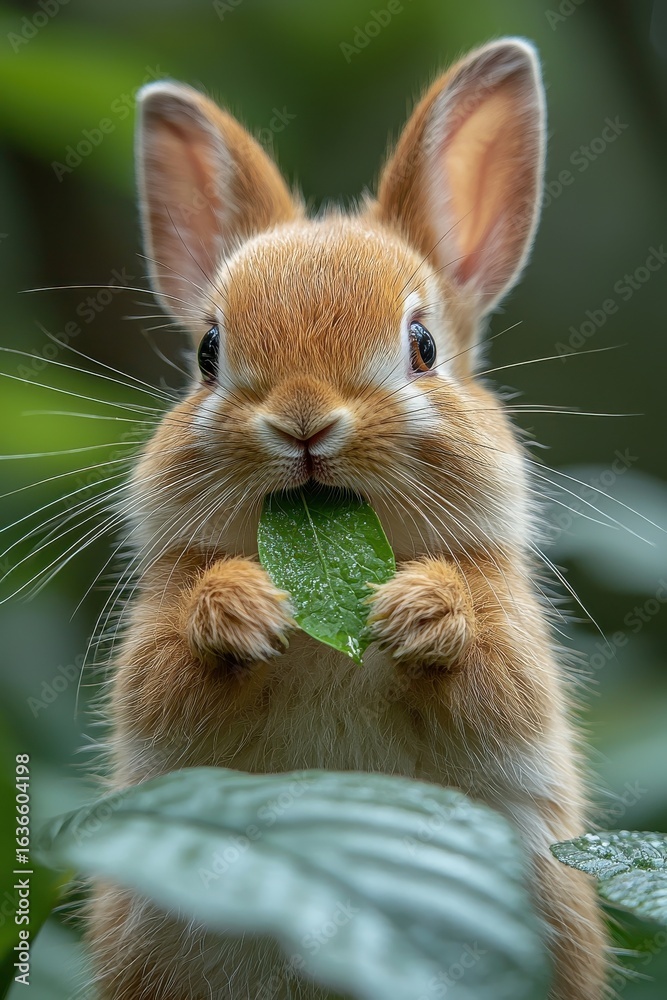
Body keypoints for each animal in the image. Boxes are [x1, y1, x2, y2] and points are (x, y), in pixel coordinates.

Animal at [87, 37, 608, 1000]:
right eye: (207, 352)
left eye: (424, 346)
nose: (301, 420)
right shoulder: (154, 670)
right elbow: (165, 682)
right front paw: (239, 609)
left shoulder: (514, 648)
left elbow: (496, 682)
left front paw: (419, 612)